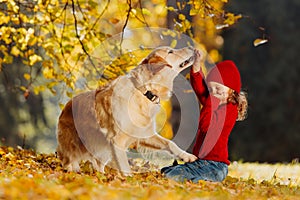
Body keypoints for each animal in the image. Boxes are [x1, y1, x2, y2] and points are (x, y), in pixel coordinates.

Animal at [56, 46, 198, 174]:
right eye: (170, 52)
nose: (192, 47)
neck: (143, 91)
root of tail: (67, 105)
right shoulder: (117, 141)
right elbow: (125, 168)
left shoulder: (144, 134)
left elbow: (170, 143)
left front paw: (186, 156)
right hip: (74, 145)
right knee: (68, 160)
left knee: (98, 164)